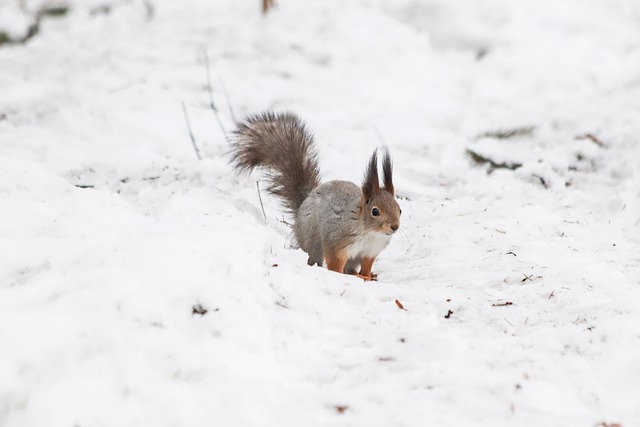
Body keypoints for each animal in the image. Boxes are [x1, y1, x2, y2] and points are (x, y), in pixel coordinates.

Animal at [230, 113, 400, 280]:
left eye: (400, 210)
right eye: (375, 211)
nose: (395, 227)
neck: (370, 233)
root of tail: (301, 207)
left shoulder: (370, 252)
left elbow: (366, 266)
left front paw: (367, 276)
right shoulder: (337, 241)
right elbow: (335, 262)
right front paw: (338, 276)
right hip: (312, 241)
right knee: (314, 258)